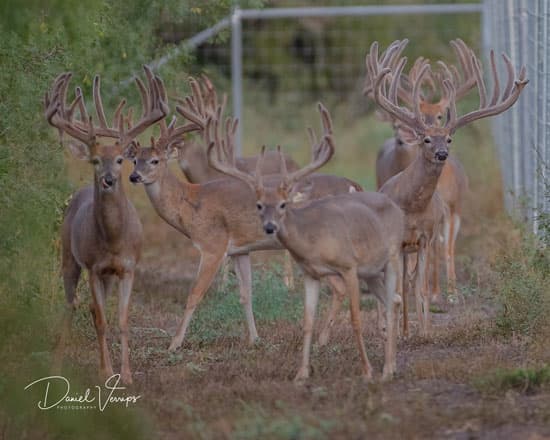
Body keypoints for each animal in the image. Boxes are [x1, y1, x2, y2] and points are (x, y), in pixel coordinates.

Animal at [45, 66, 168, 384]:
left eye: (122, 159)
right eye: (95, 160)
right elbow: (101, 320)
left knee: (88, 306)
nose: (109, 180)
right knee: (71, 304)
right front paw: (107, 371)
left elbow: (122, 320)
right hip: (69, 257)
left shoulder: (127, 268)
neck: (113, 240)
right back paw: (57, 366)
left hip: (108, 276)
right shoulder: (93, 267)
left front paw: (127, 374)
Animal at [127, 75, 364, 354]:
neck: (191, 202)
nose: (134, 177)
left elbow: (194, 294)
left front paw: (174, 344)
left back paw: (323, 339)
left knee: (343, 285)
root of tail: (354, 185)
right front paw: (254, 339)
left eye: (155, 160)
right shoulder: (240, 250)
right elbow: (246, 293)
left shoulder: (213, 245)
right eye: (135, 160)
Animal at [207, 101, 406, 380]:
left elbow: (355, 319)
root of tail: (395, 206)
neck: (314, 241)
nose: (269, 227)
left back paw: (386, 369)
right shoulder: (311, 274)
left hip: (392, 258)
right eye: (258, 205)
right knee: (394, 300)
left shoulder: (349, 267)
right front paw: (301, 373)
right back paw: (392, 364)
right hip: (372, 272)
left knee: (392, 301)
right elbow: (307, 323)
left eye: (283, 204)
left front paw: (366, 370)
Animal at [368, 42, 528, 336]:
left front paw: (425, 330)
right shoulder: (397, 241)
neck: (412, 207)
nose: (442, 153)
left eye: (449, 139)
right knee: (392, 282)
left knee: (414, 278)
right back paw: (388, 325)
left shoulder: (423, 237)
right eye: (426, 139)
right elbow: (398, 288)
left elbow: (419, 287)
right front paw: (397, 329)